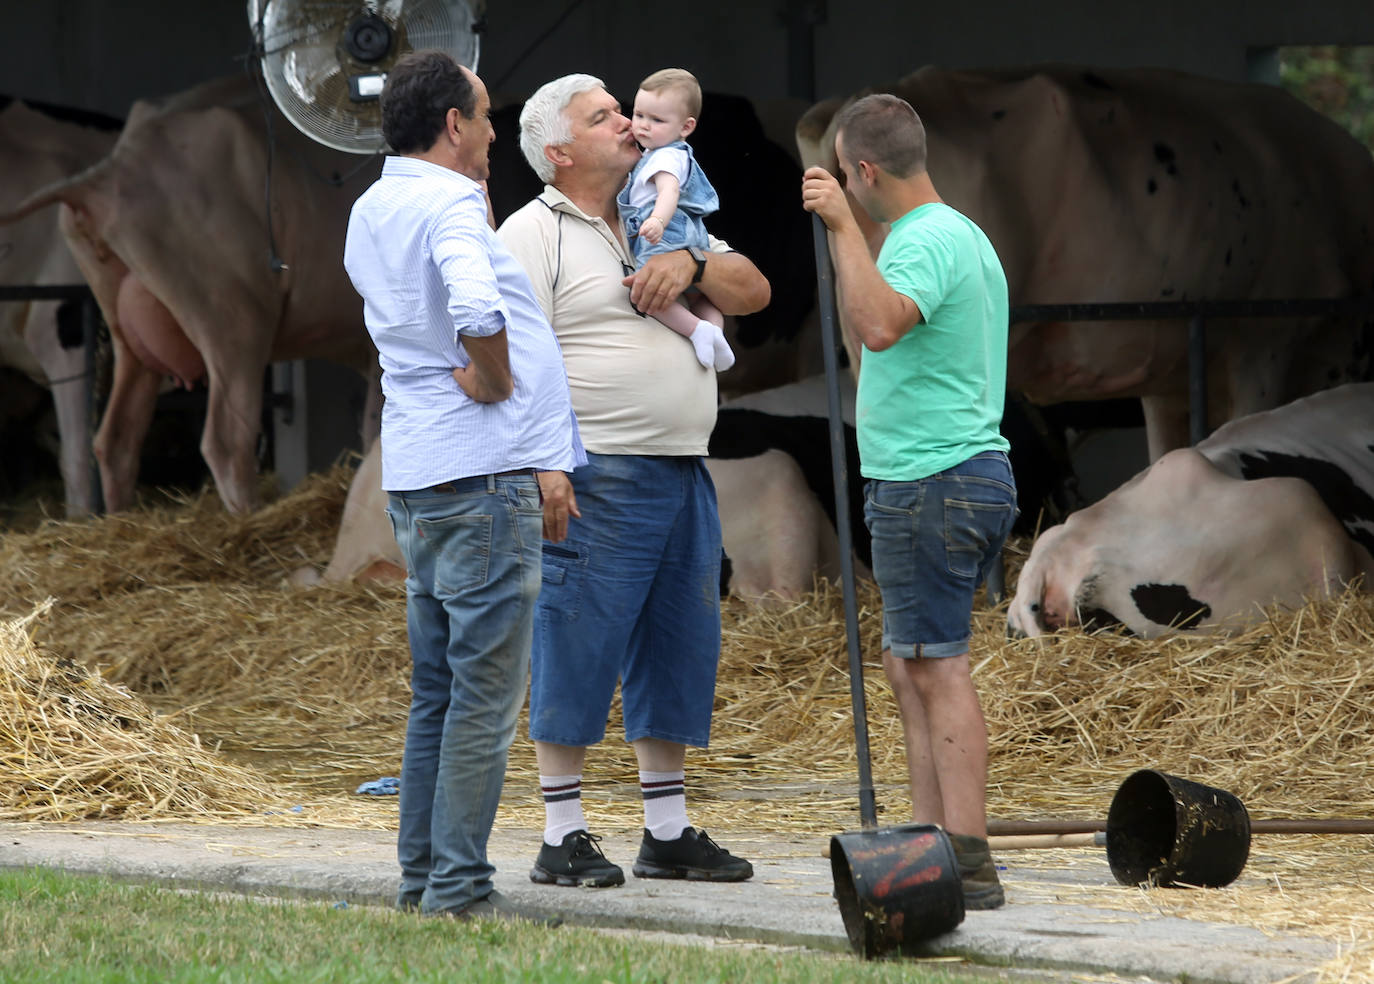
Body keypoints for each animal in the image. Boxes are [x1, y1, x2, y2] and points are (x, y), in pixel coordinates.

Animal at [2, 76, 379, 513]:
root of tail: (108, 170)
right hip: (233, 316)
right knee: (226, 442)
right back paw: (251, 518)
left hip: (124, 325)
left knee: (115, 441)